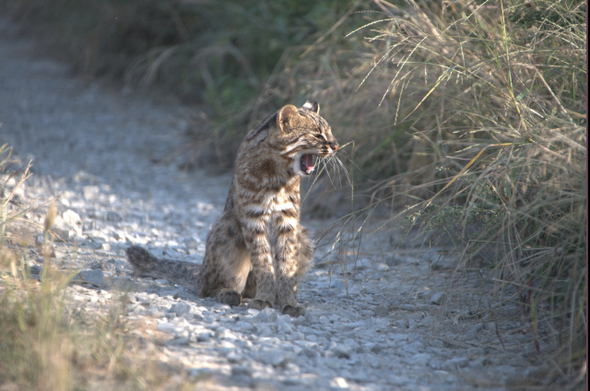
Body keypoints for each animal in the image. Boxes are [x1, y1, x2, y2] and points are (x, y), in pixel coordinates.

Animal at [128, 99, 342, 316]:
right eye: (317, 134)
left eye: (330, 132)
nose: (336, 146)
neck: (279, 173)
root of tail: (200, 272)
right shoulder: (253, 218)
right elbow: (263, 262)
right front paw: (264, 299)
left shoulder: (288, 220)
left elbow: (287, 266)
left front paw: (289, 302)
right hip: (226, 226)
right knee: (206, 287)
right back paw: (228, 292)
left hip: (303, 235)